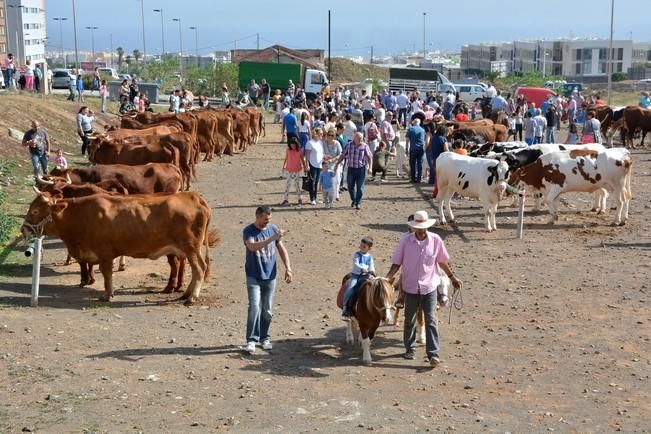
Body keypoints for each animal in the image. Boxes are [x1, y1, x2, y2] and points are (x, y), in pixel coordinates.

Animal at [21, 192, 220, 304]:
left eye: (35, 211)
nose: (23, 229)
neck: (82, 216)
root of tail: (193, 197)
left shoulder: (104, 253)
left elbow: (107, 274)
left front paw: (107, 294)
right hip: (189, 249)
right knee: (197, 270)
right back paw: (186, 294)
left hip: (191, 247)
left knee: (199, 269)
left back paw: (192, 297)